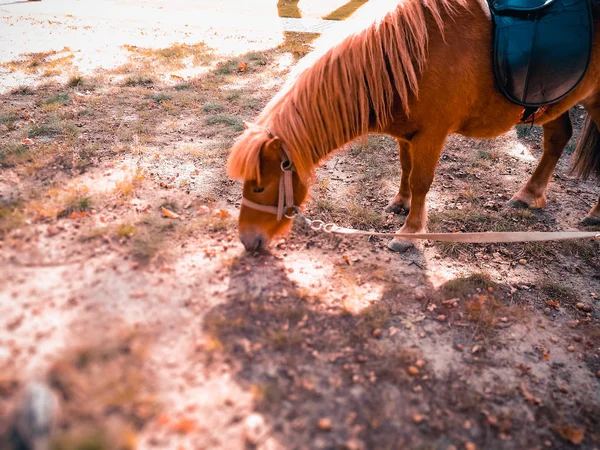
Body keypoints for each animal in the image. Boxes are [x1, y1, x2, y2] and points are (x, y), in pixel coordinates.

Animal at [226, 0, 600, 251]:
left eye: (259, 187)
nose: (247, 240)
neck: (412, 57)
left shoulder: (432, 134)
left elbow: (421, 180)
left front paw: (409, 233)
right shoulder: (408, 134)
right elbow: (405, 169)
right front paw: (400, 203)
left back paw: (593, 216)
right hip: (555, 101)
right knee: (558, 140)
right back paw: (528, 195)